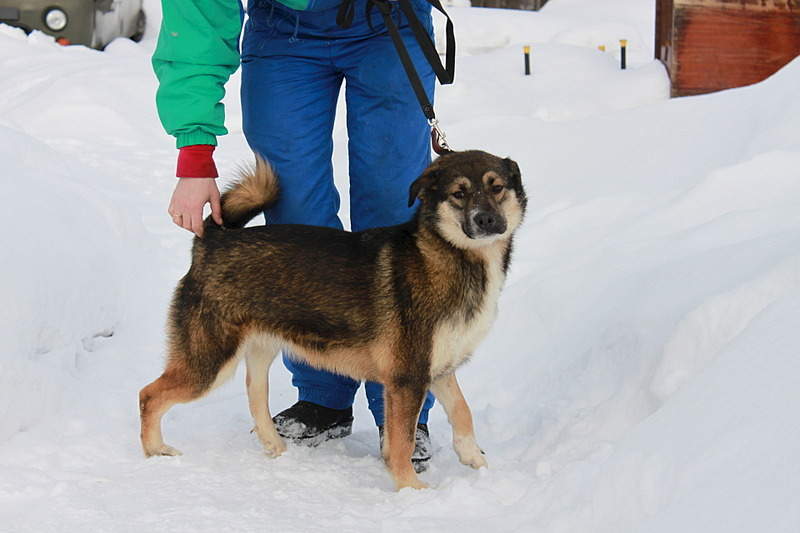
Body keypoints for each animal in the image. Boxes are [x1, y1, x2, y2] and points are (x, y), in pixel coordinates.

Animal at [139, 150, 524, 490]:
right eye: (459, 193)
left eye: (496, 187)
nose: (486, 220)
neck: (453, 255)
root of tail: (214, 239)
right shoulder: (407, 378)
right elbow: (401, 443)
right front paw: (411, 490)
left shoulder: (437, 368)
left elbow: (462, 411)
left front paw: (475, 460)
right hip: (208, 364)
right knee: (149, 395)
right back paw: (155, 451)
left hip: (260, 349)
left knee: (254, 395)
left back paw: (276, 447)